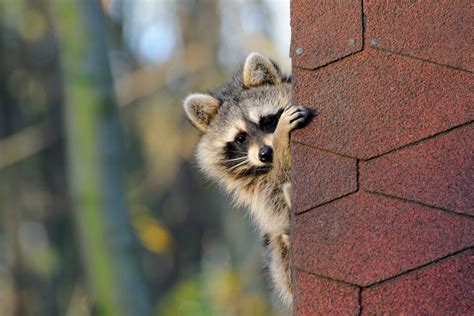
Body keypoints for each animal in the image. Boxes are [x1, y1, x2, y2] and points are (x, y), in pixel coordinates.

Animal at [183, 52, 312, 308]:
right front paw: (282, 141)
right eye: (241, 138)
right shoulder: (255, 190)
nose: (266, 153)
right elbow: (274, 198)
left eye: (267, 121)